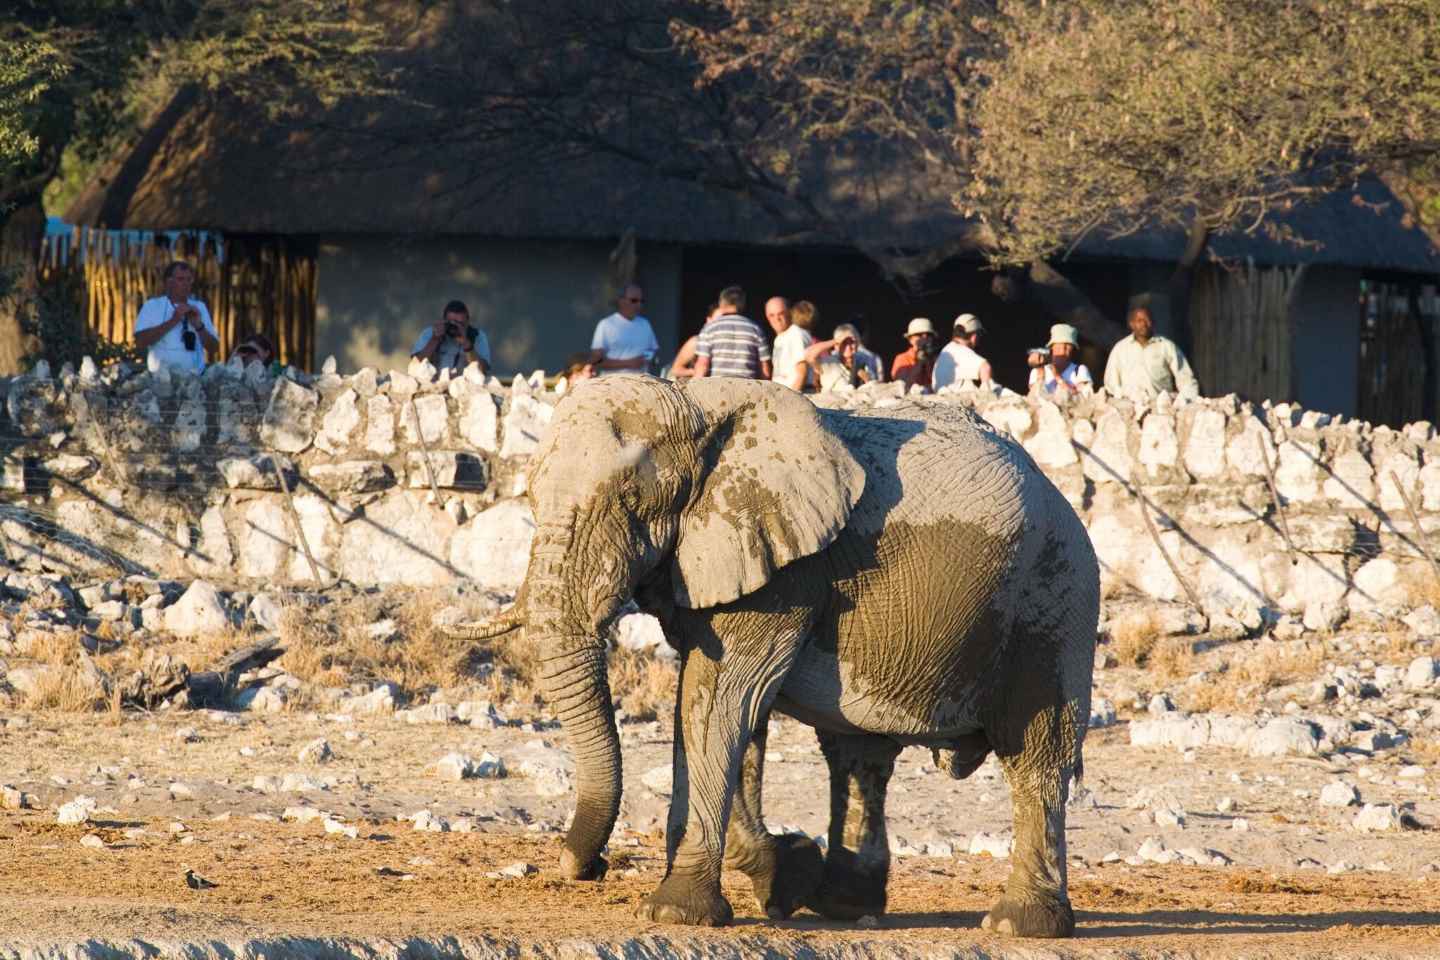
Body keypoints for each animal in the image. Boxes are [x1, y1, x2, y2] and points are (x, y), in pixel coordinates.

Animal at [466, 374, 1094, 938]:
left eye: (630, 499)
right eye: (530, 497)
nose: (590, 866)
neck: (695, 404)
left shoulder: (785, 567)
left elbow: (719, 700)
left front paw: (680, 912)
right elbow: (723, 712)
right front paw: (785, 878)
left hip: (1053, 601)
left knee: (1037, 754)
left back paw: (1021, 925)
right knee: (858, 756)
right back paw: (842, 904)